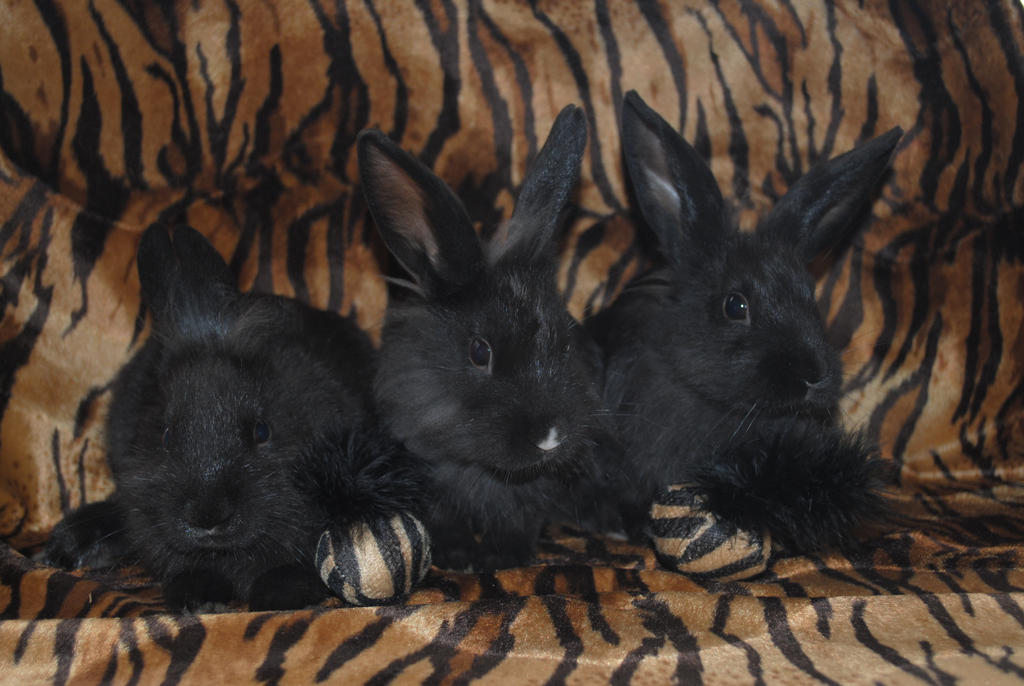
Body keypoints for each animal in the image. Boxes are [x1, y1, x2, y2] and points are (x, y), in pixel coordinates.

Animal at [46, 225, 423, 614]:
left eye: (262, 431)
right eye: (165, 436)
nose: (208, 517)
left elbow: (289, 567)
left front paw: (281, 595)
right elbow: (190, 568)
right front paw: (198, 600)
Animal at [360, 104, 614, 573]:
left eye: (565, 341)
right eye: (480, 352)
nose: (550, 437)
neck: (481, 470)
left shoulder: (526, 497)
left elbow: (515, 520)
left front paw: (502, 557)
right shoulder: (431, 478)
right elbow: (445, 520)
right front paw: (458, 558)